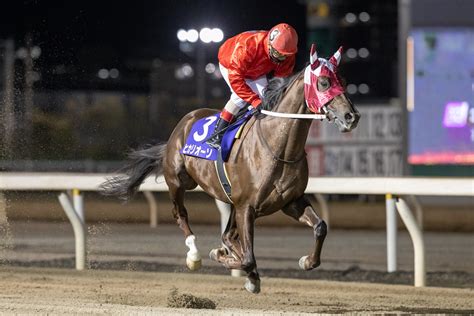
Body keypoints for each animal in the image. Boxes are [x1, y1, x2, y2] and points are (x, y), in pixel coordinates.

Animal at [101, 44, 360, 294]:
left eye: (344, 80)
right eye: (324, 82)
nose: (352, 116)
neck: (279, 147)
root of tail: (183, 124)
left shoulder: (289, 202)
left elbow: (320, 227)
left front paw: (306, 261)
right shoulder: (247, 207)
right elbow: (247, 258)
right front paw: (229, 261)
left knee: (228, 234)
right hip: (178, 181)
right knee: (181, 214)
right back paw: (194, 255)